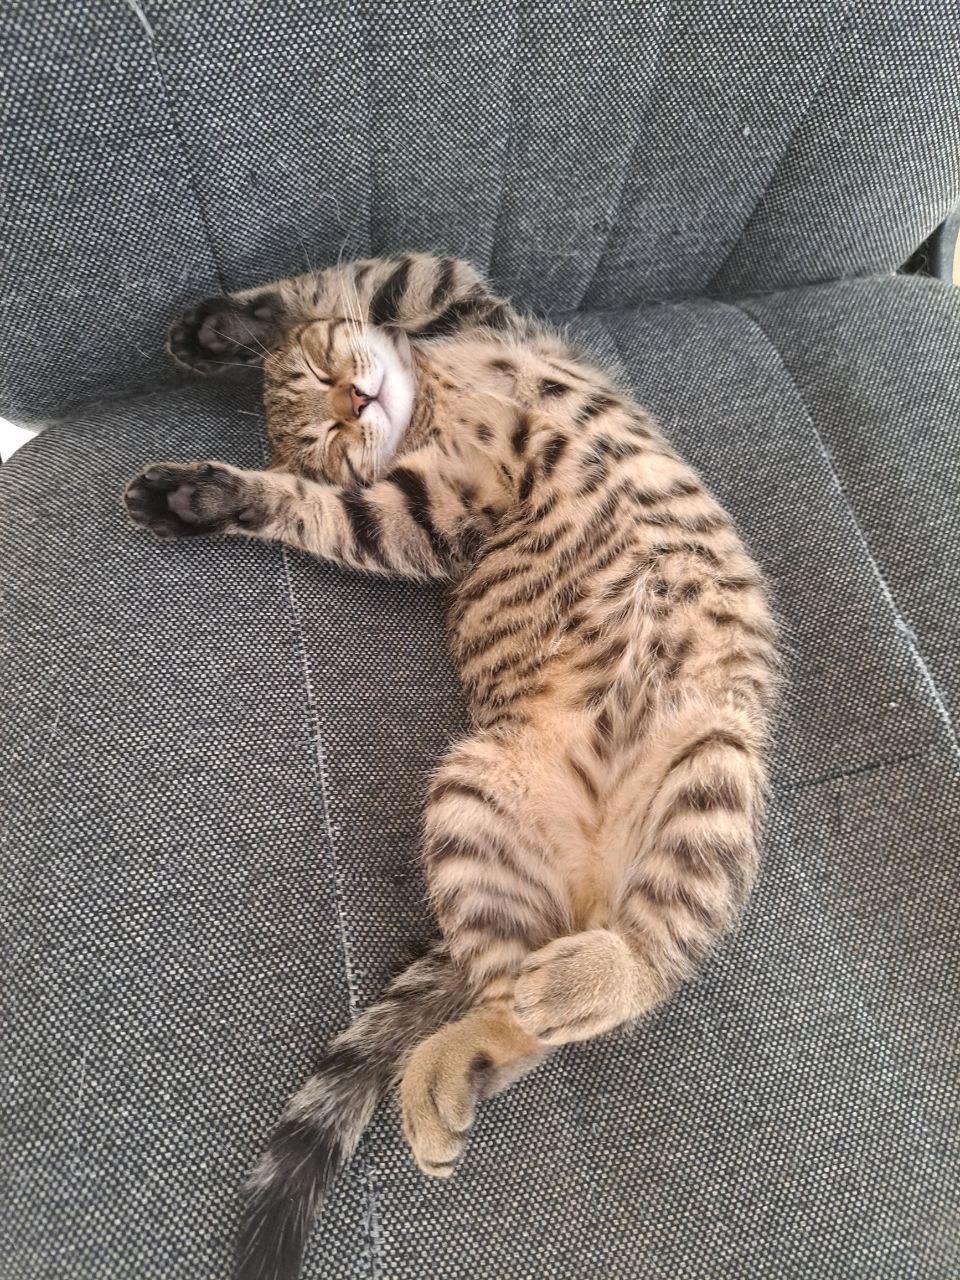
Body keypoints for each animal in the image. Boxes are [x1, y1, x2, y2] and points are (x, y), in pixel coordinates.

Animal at [124, 253, 778, 1280]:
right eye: (323, 435)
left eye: (321, 379)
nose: (353, 399)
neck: (429, 398)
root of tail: (588, 891)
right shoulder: (418, 517)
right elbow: (319, 504)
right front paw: (215, 490)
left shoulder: (466, 301)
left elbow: (355, 282)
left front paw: (218, 332)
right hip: (477, 798)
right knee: (532, 1010)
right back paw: (451, 1067)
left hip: (706, 756)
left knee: (641, 960)